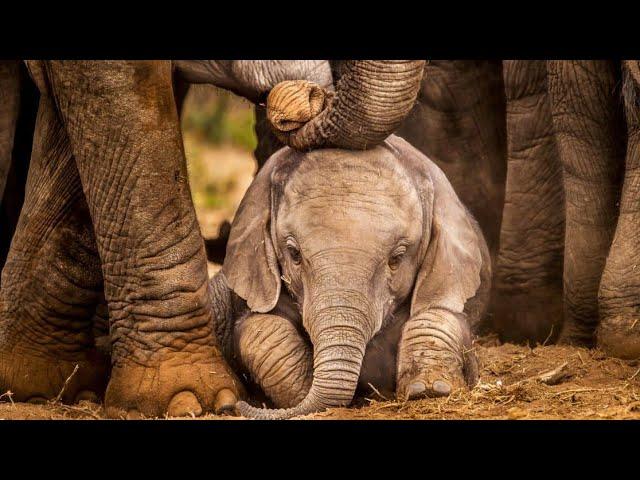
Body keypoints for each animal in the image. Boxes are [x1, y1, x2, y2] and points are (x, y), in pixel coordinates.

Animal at [211, 134, 490, 416]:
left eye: (396, 258)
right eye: (294, 253)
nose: (234, 407)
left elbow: (439, 315)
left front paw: (429, 389)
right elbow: (261, 328)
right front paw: (300, 390)